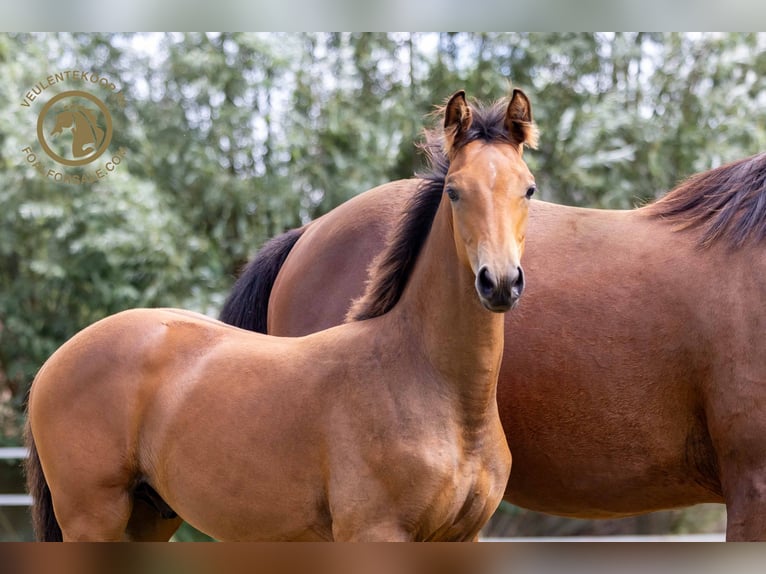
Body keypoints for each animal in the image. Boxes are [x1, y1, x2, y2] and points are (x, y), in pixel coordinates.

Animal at [25, 90, 540, 544]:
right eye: (454, 192)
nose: (499, 282)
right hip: (94, 518)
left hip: (147, 518)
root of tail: (55, 361)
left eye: (528, 189)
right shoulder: (374, 531)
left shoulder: (463, 536)